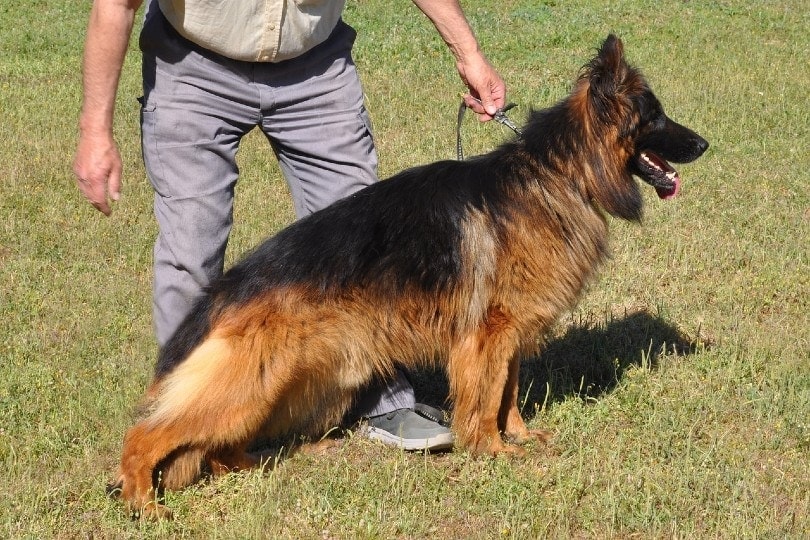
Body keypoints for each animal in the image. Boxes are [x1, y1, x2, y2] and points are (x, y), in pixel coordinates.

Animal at [113, 35, 708, 516]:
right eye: (655, 117)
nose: (704, 144)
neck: (558, 172)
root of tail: (227, 287)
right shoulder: (487, 334)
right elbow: (485, 398)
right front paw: (492, 451)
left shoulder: (510, 332)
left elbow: (509, 393)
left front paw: (518, 437)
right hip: (251, 382)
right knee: (149, 432)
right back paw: (143, 503)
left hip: (294, 384)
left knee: (217, 447)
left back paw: (265, 463)